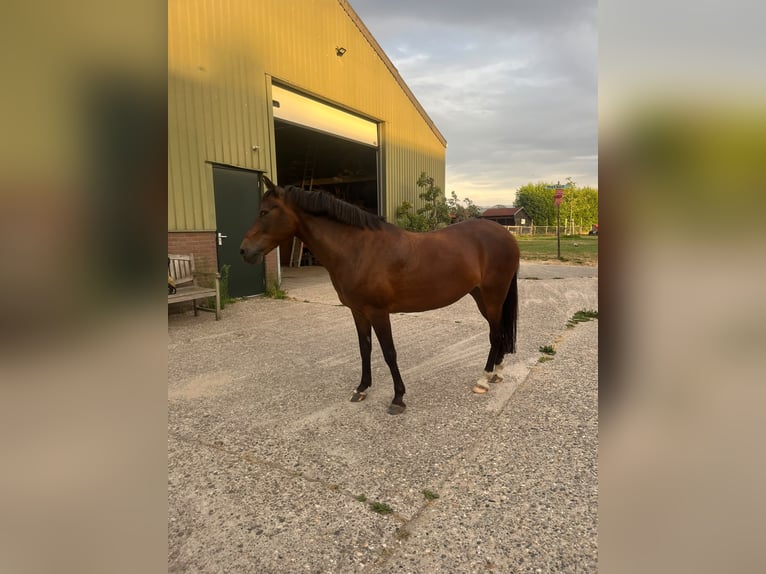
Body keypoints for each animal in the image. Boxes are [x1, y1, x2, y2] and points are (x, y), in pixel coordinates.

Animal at [240, 178, 520, 415]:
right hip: (481, 296)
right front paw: (362, 388)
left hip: (493, 296)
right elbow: (365, 349)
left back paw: (484, 379)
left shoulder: (378, 312)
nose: (244, 251)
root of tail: (506, 234)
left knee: (495, 334)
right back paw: (497, 373)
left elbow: (389, 352)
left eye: (265, 212)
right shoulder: (358, 311)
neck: (358, 249)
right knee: (499, 332)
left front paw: (398, 398)